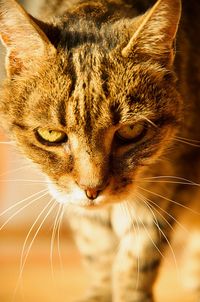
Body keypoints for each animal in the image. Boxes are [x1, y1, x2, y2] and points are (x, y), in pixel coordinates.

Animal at [0, 0, 199, 300]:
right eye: (51, 134)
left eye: (131, 130)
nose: (92, 190)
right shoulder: (71, 199)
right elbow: (97, 248)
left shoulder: (169, 180)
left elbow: (137, 254)